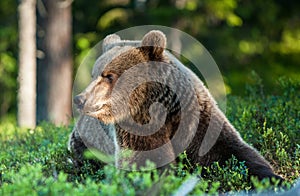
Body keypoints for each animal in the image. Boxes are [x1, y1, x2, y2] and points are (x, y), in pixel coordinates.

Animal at [71, 29, 282, 181]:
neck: (160, 109)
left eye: (109, 75)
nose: (80, 99)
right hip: (86, 142)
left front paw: (274, 177)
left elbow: (232, 151)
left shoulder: (197, 118)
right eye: (93, 75)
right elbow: (145, 160)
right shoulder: (136, 128)